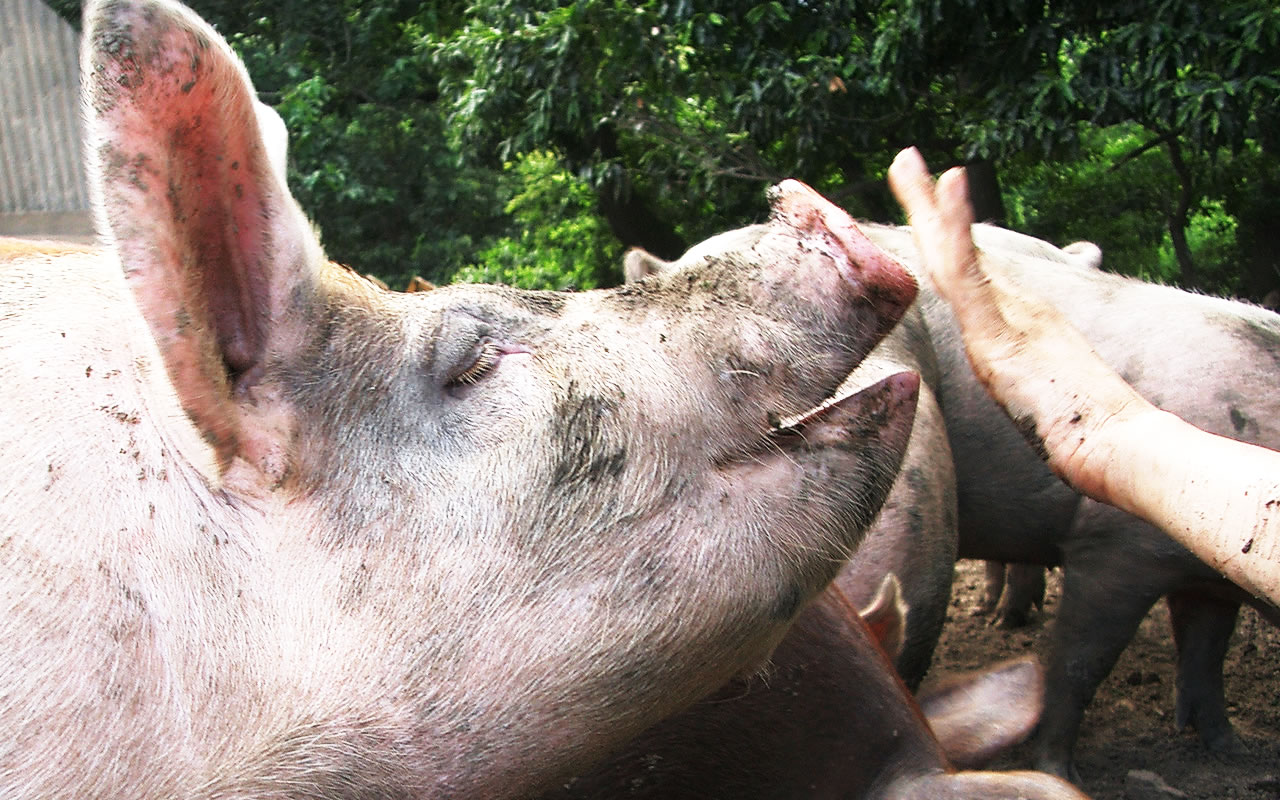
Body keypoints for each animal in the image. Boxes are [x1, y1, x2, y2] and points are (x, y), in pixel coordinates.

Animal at [855, 216, 1280, 778]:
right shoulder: (1114, 546)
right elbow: (1080, 661)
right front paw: (1059, 771)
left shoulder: (1208, 580)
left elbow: (1206, 653)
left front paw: (1230, 750)